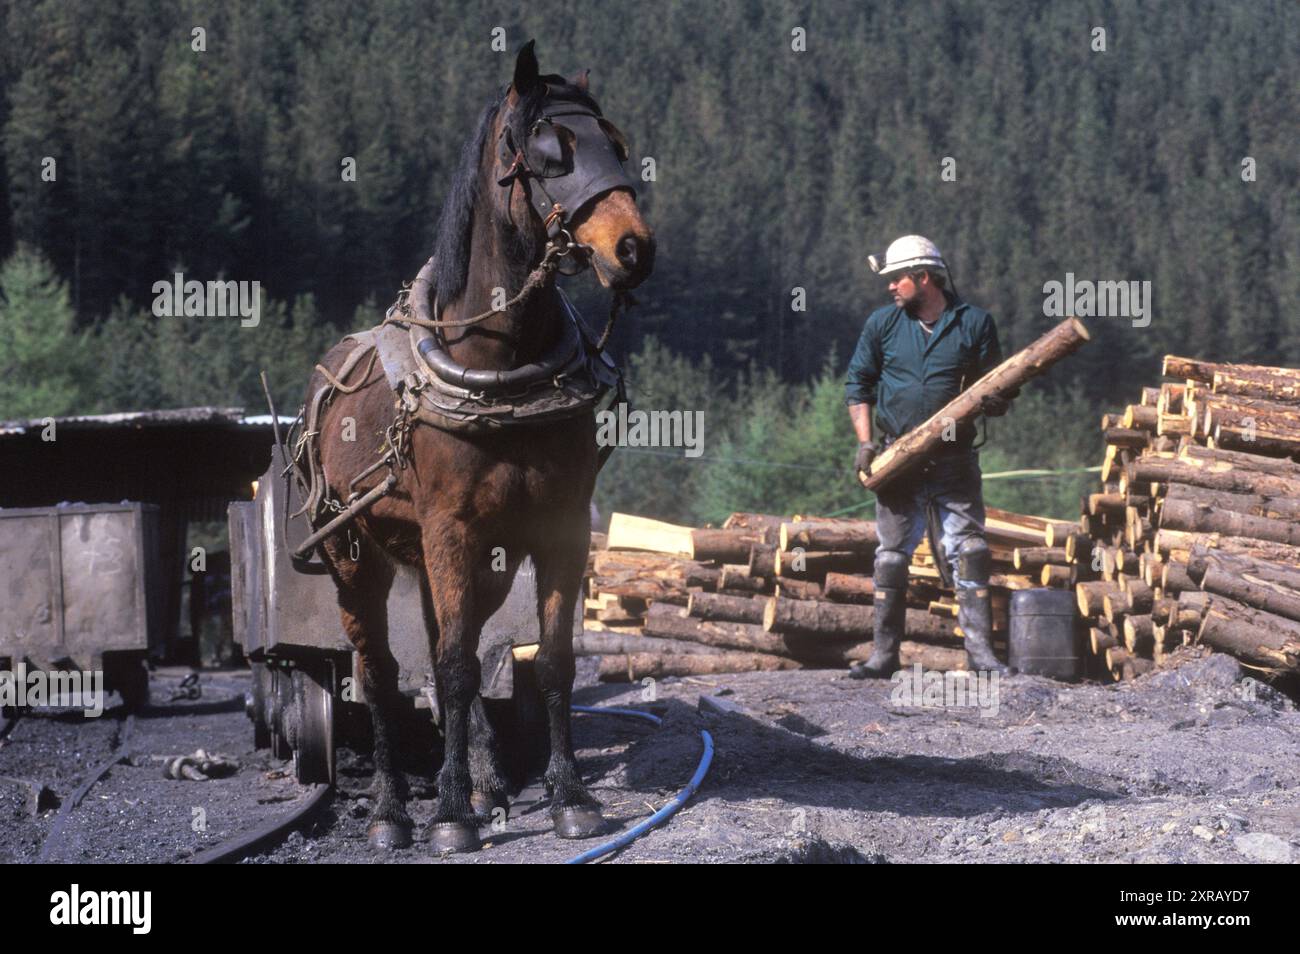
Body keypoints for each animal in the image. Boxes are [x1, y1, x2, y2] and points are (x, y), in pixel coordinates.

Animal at [301, 41, 650, 857]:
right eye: (552, 151)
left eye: (617, 146)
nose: (633, 247)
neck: (501, 370)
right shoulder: (449, 531)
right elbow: (456, 670)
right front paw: (451, 814)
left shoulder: (556, 530)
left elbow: (548, 661)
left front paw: (567, 796)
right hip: (356, 558)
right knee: (380, 669)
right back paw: (392, 808)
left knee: (444, 647)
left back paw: (489, 783)